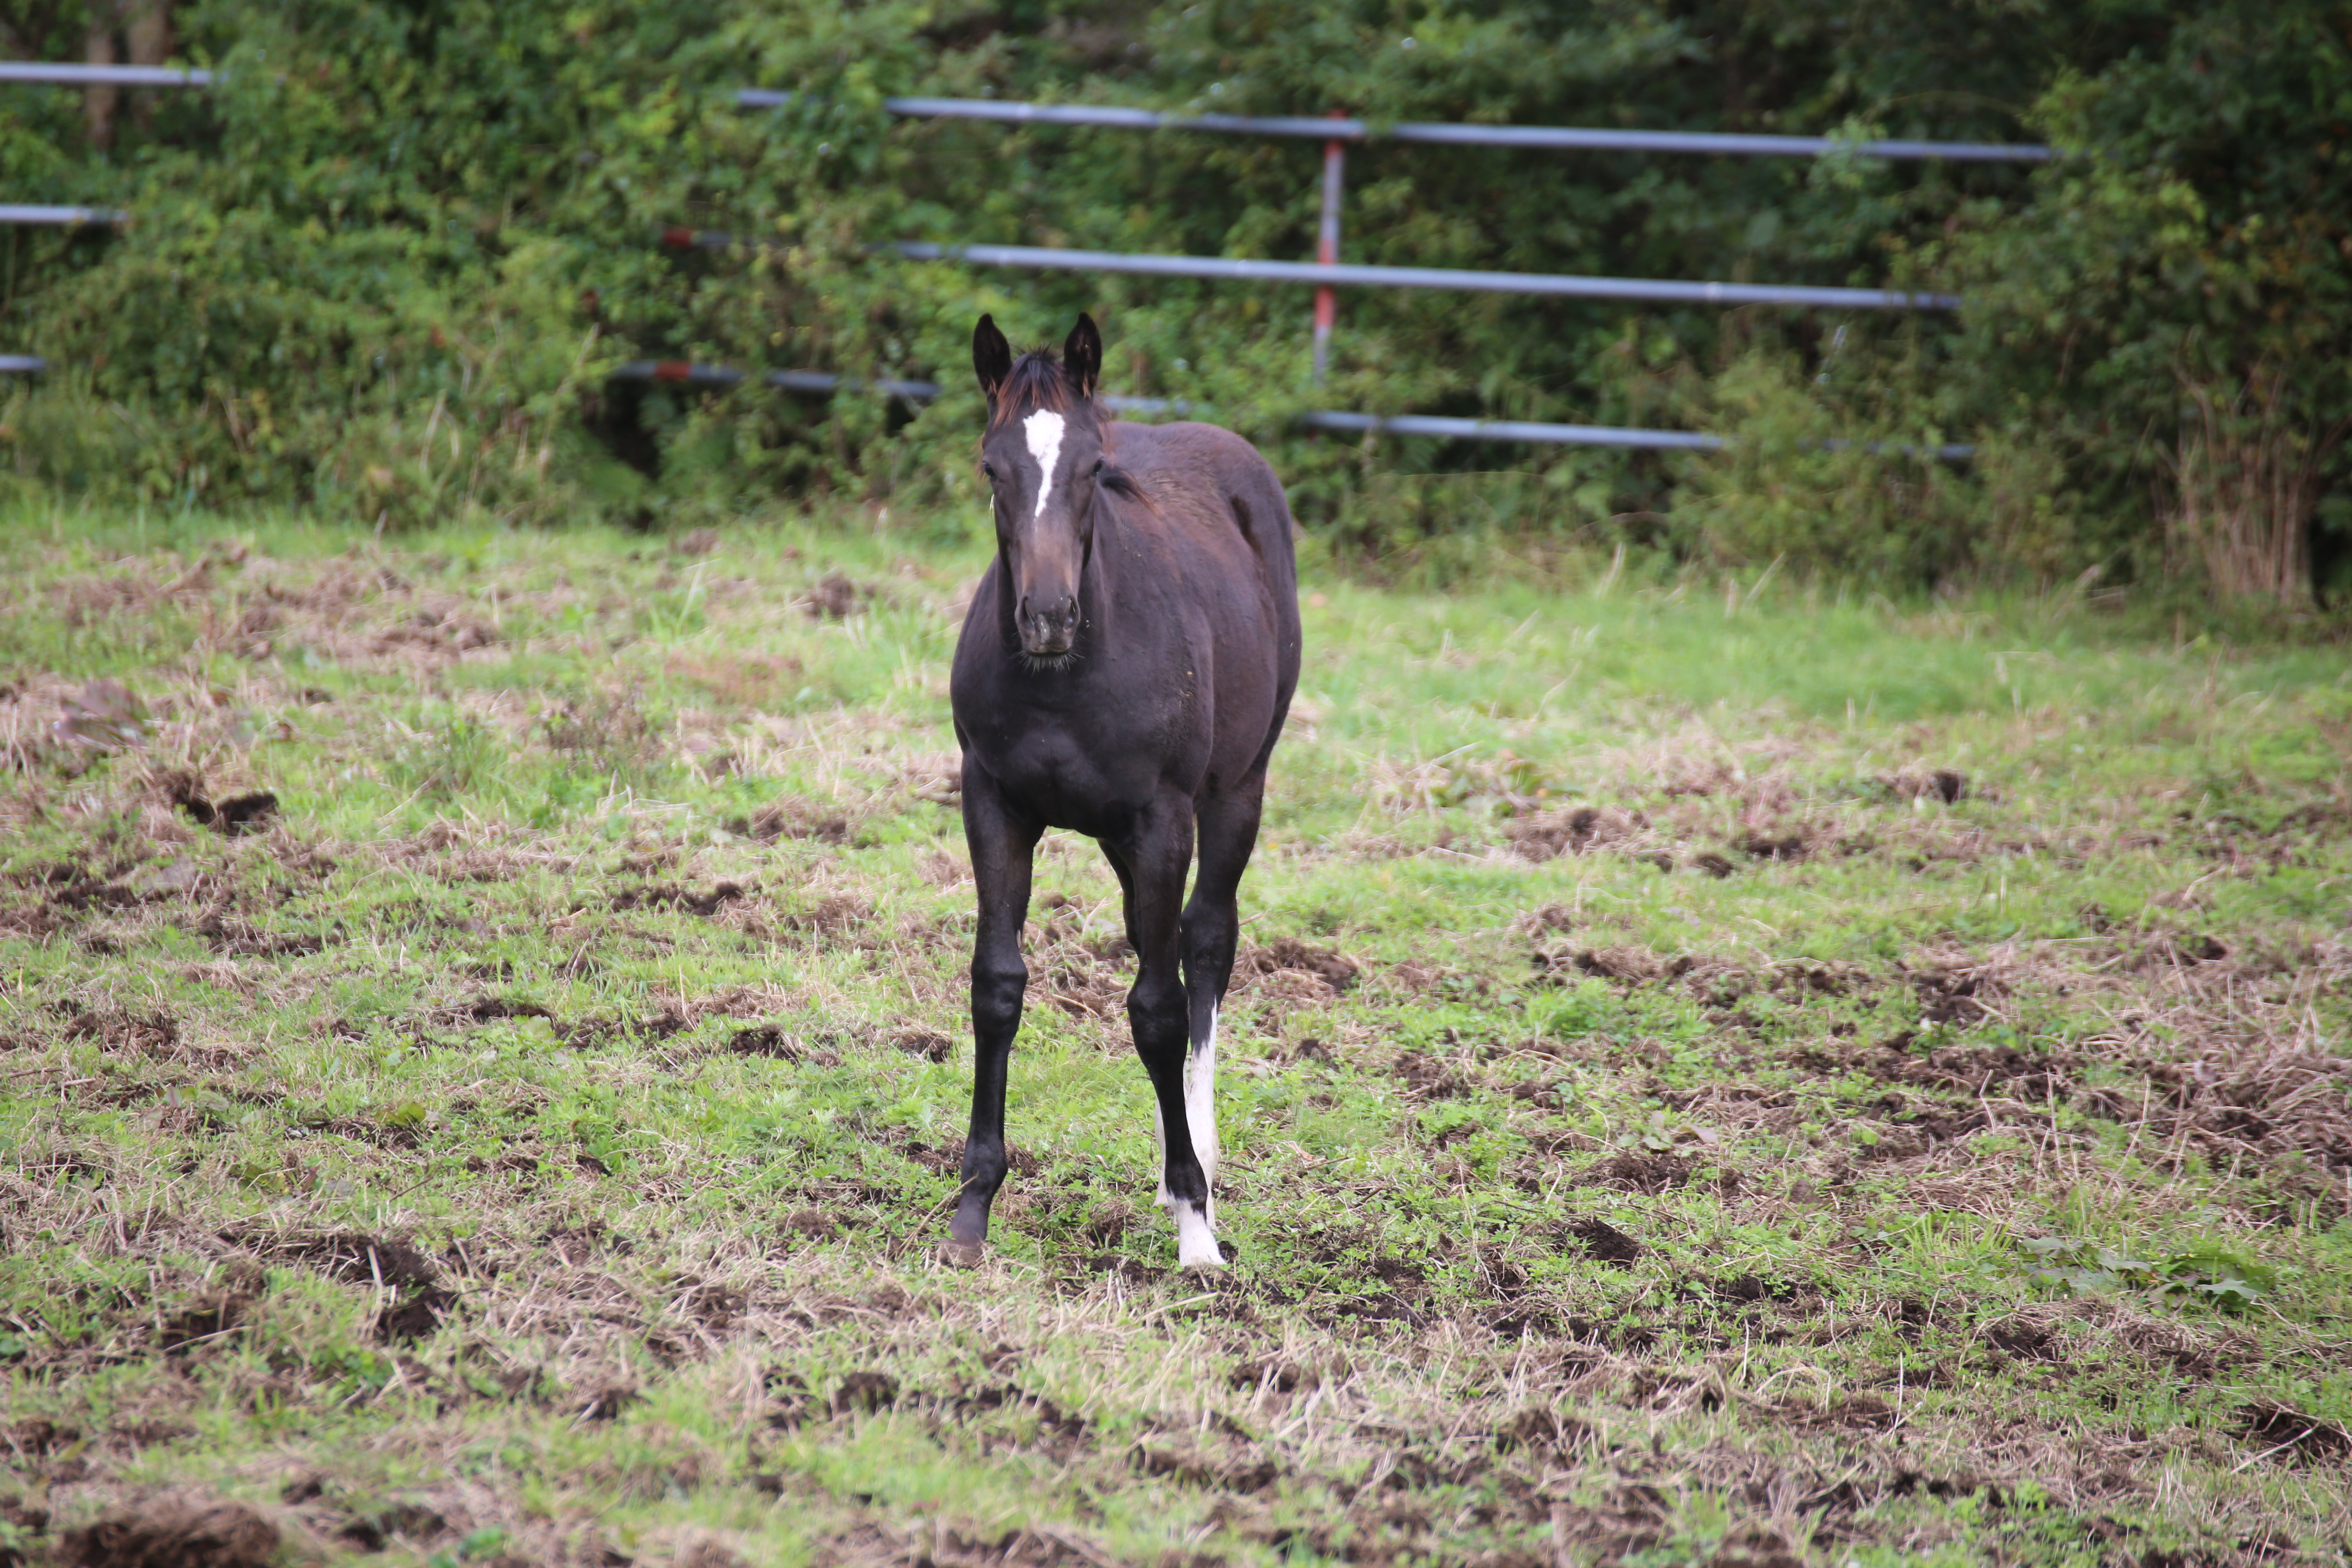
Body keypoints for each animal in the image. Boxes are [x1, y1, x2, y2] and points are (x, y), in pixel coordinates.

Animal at [941, 312, 1307, 1269]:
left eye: (1091, 468)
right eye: (992, 467)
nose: (1047, 617)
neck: (1064, 683)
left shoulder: (1162, 820)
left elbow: (1159, 1006)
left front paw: (1196, 1226)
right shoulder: (993, 804)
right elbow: (997, 985)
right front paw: (973, 1206)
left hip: (1235, 791)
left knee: (1205, 946)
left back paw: (1203, 1160)